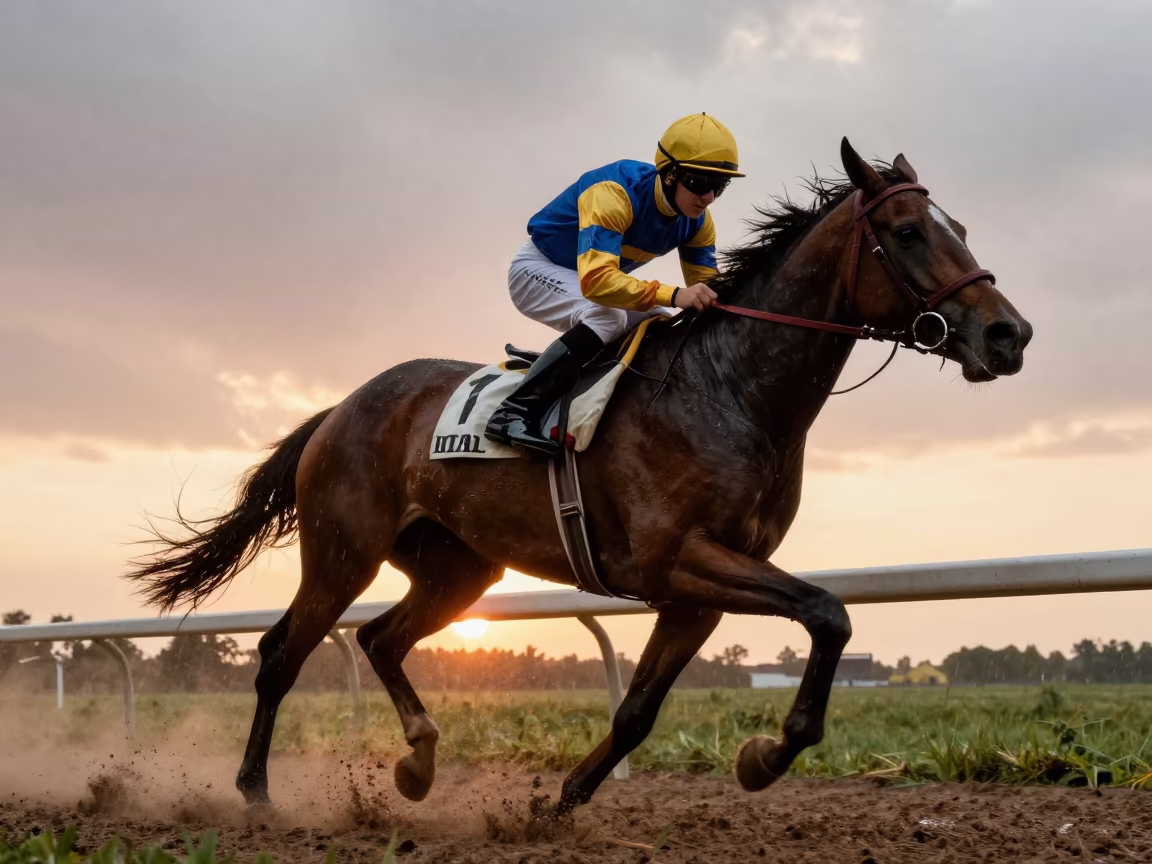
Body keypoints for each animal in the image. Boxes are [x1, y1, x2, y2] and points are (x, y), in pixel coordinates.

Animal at [127, 139, 1032, 815]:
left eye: (960, 225)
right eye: (909, 231)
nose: (1009, 334)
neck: (731, 390)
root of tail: (342, 409)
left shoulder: (697, 591)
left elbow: (638, 711)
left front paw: (561, 802)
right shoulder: (677, 559)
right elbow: (828, 612)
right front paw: (766, 755)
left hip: (459, 567)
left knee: (380, 639)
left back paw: (418, 763)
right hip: (343, 549)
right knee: (282, 653)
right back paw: (255, 793)